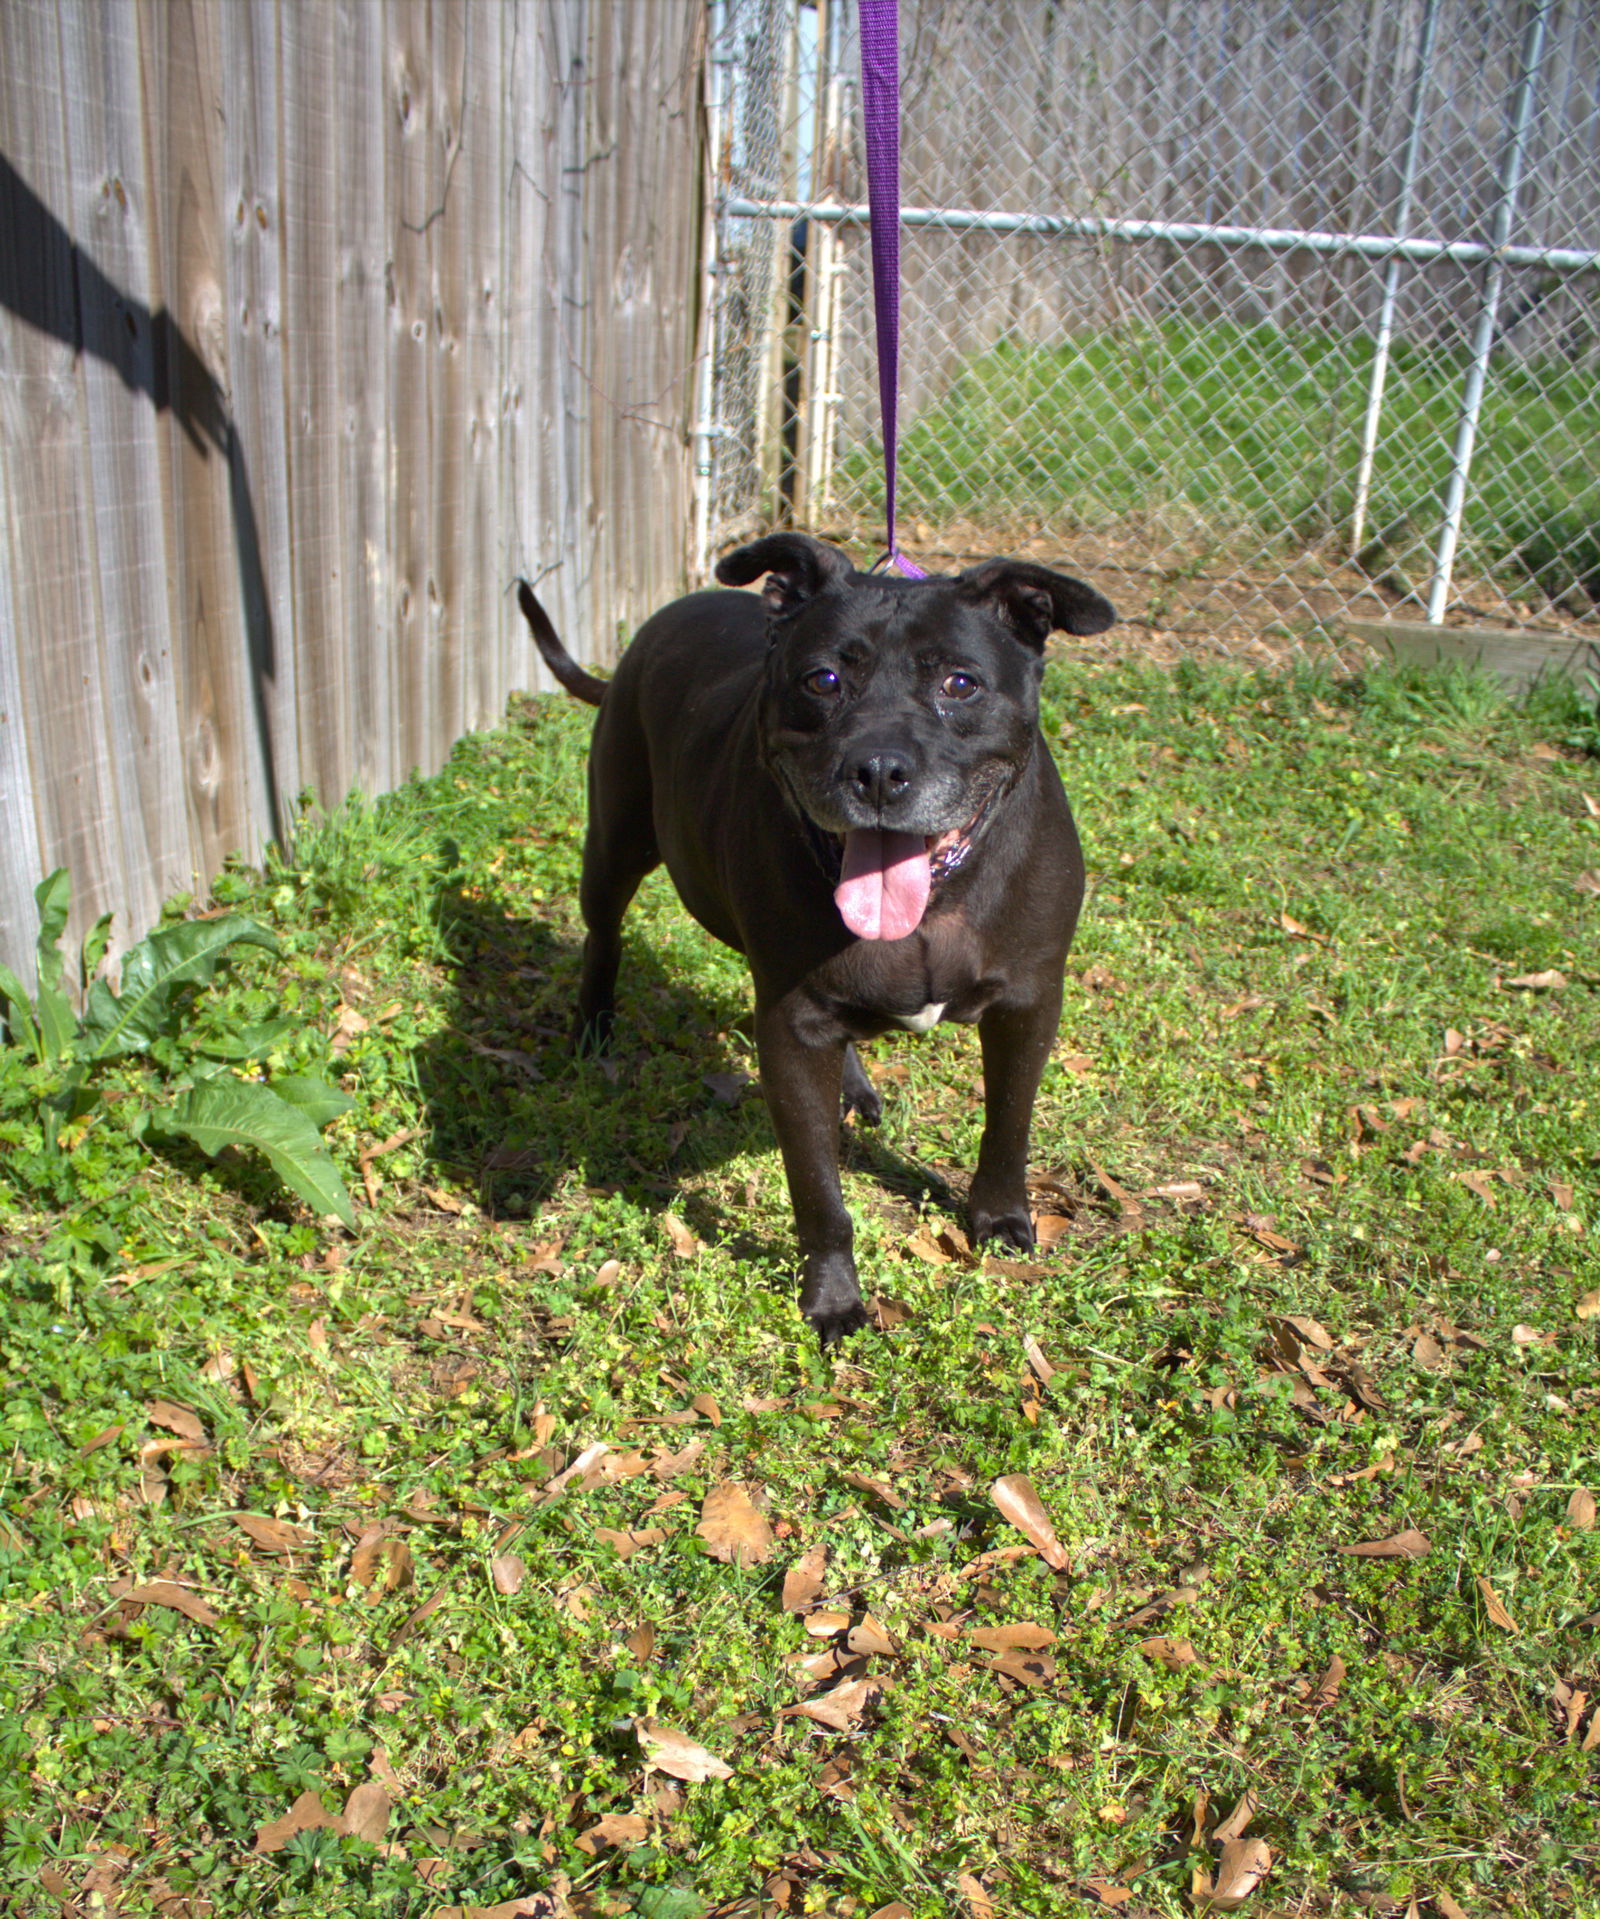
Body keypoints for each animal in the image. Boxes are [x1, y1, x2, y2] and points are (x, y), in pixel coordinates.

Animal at [514, 533, 1112, 1343]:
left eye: (961, 683)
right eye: (823, 679)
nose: (880, 769)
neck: (934, 905)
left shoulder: (1028, 1003)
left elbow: (1008, 1122)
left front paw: (999, 1219)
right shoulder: (792, 1030)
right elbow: (819, 1190)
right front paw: (833, 1300)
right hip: (616, 840)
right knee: (603, 934)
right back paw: (593, 1031)